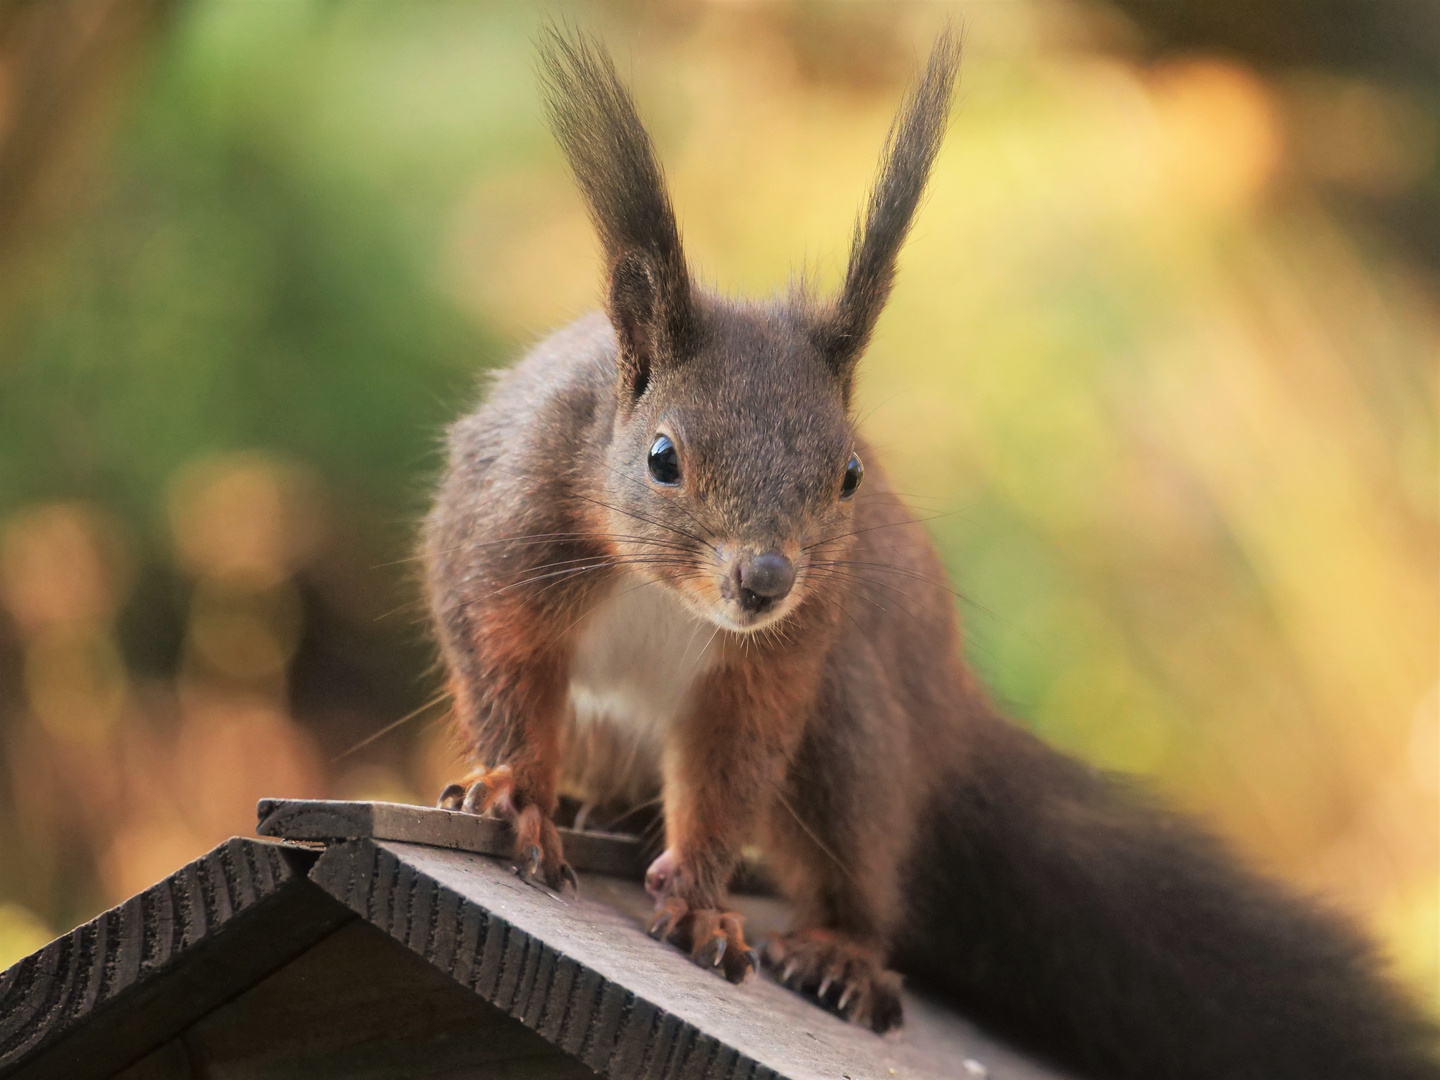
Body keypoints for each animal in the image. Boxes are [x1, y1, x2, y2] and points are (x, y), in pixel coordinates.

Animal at [423, 25, 1440, 1080]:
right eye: (662, 457)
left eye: (851, 476)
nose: (766, 579)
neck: (667, 593)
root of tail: (946, 707)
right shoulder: (507, 540)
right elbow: (503, 668)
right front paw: (518, 796)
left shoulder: (779, 662)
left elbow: (730, 767)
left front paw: (701, 901)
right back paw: (595, 814)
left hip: (851, 730)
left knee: (859, 868)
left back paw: (837, 953)